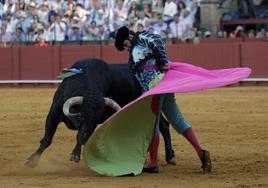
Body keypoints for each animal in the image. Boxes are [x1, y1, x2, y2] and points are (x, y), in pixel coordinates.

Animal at [25, 58, 176, 167]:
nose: (86, 138)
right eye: (81, 117)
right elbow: (47, 139)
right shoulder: (54, 113)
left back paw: (170, 156)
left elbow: (78, 137)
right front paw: (31, 161)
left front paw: (75, 155)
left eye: (96, 120)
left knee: (163, 125)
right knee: (160, 125)